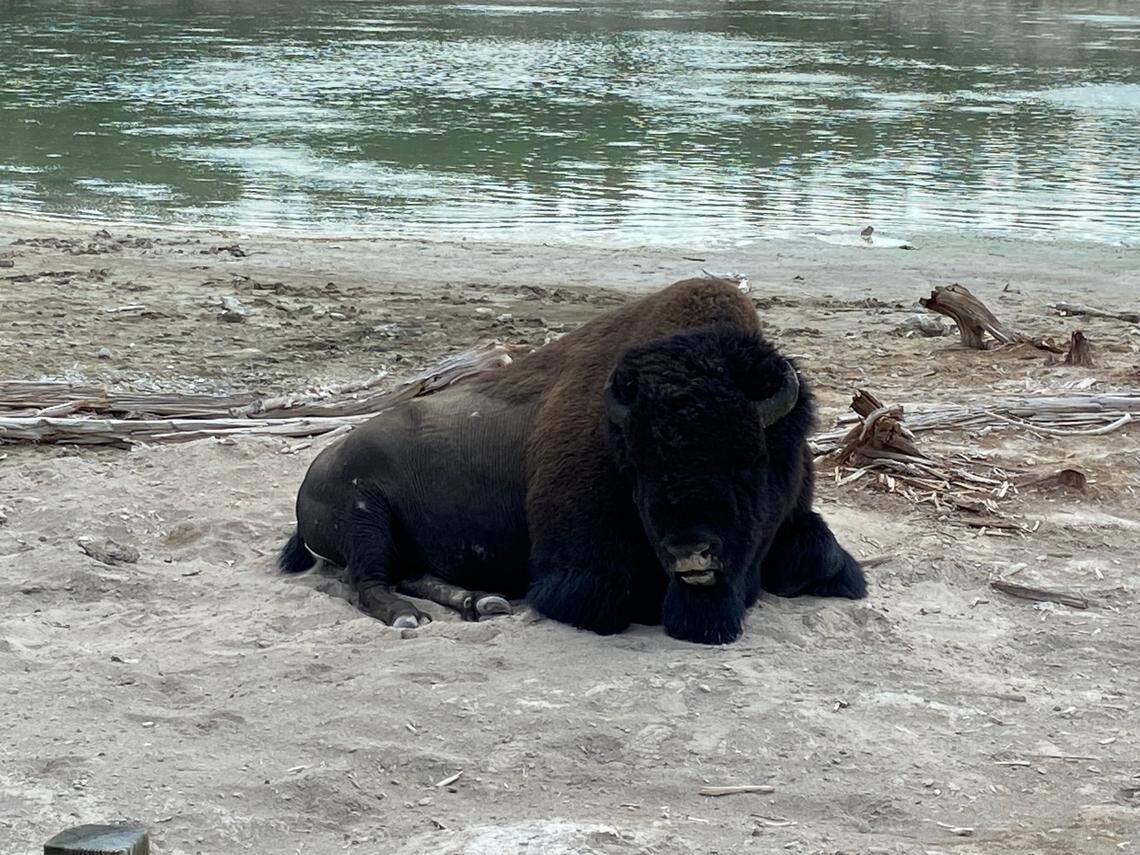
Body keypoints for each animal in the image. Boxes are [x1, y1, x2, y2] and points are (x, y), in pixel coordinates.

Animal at [279, 277, 866, 644]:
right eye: (637, 469)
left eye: (747, 461)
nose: (690, 552)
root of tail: (313, 474)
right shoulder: (580, 571)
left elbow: (827, 561)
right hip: (364, 516)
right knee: (369, 583)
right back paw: (411, 618)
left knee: (413, 574)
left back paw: (482, 603)